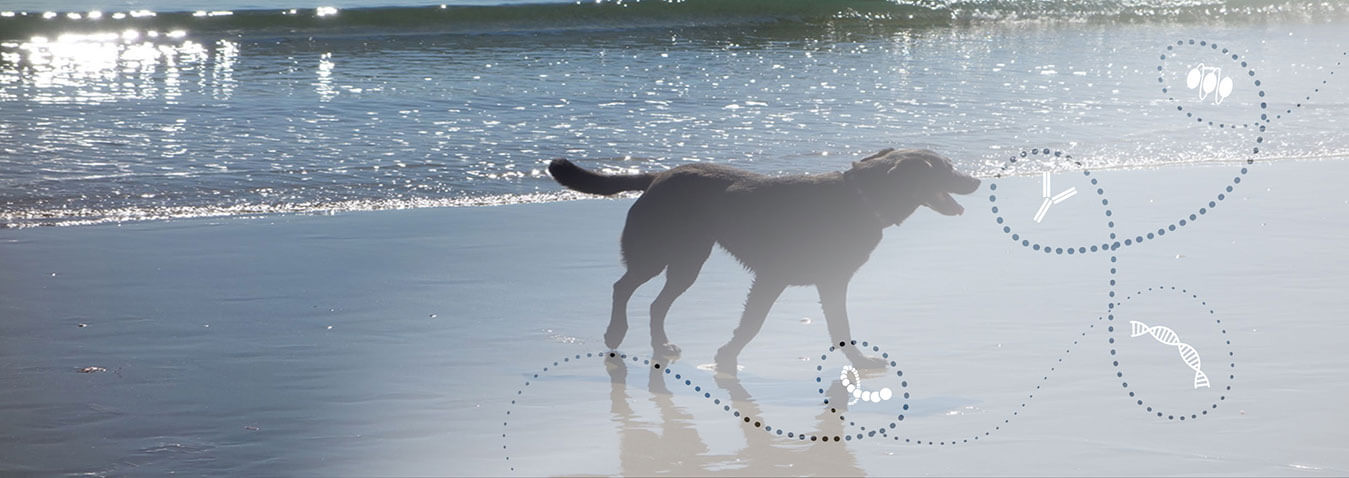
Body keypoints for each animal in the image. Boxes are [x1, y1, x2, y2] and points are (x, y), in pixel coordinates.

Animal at [547, 149, 982, 372]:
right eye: (945, 169)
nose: (977, 180)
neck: (861, 199)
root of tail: (657, 177)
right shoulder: (774, 277)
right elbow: (753, 323)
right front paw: (727, 357)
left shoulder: (833, 283)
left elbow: (841, 328)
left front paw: (858, 362)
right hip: (658, 255)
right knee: (622, 287)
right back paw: (615, 333)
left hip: (688, 262)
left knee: (656, 304)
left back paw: (661, 346)